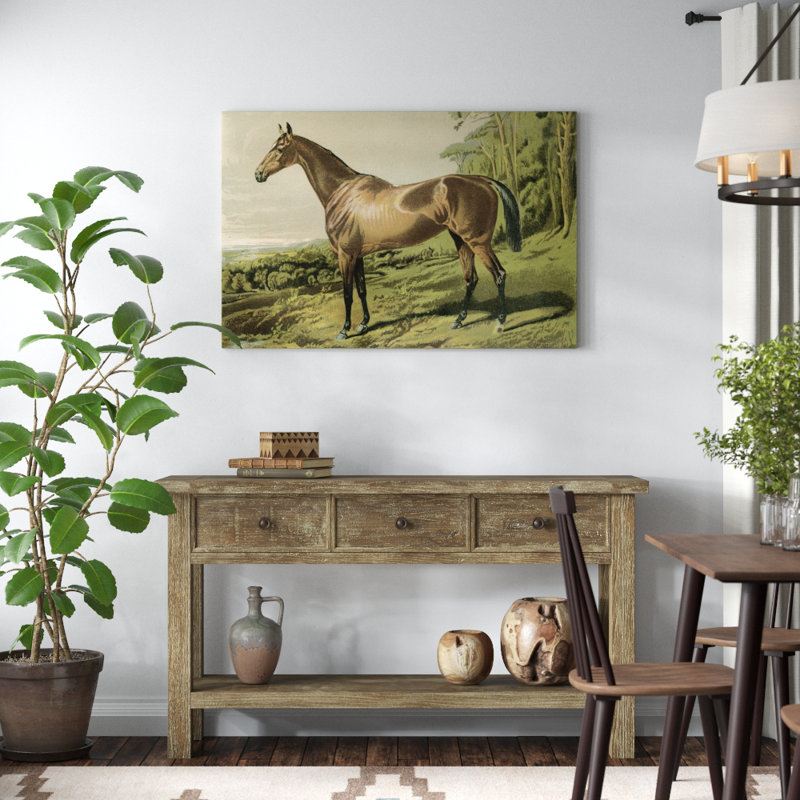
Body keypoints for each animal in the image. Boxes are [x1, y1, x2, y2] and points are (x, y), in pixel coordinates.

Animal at [254, 123, 522, 340]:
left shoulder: (345, 255)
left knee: (499, 275)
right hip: (461, 240)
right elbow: (362, 290)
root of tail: (482, 180)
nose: (258, 174)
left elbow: (347, 293)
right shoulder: (357, 255)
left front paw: (344, 330)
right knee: (470, 278)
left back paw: (500, 324)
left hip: (477, 242)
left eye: (279, 149)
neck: (343, 192)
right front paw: (363, 324)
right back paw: (458, 321)